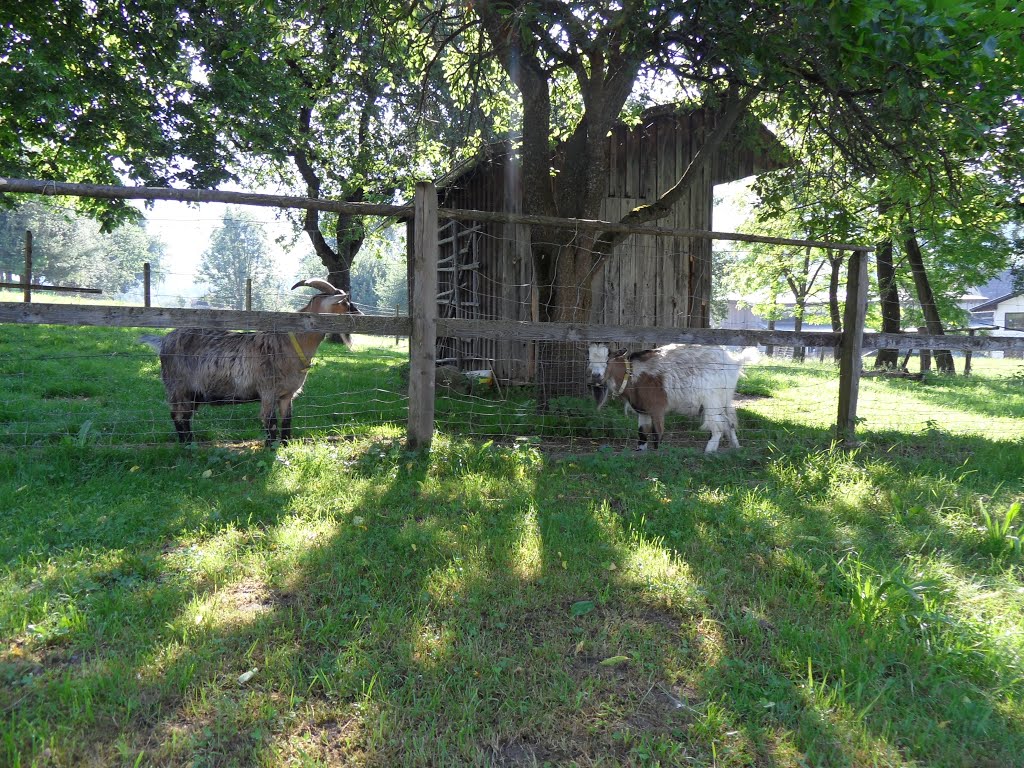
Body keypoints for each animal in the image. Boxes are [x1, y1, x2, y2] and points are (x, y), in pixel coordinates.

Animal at [585, 342, 761, 450]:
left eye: (608, 359)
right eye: (589, 359)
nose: (596, 376)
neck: (633, 374)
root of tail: (735, 362)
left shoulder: (657, 409)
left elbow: (657, 435)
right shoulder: (643, 411)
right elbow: (642, 435)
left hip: (712, 400)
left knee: (718, 426)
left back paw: (709, 451)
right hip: (724, 397)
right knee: (729, 421)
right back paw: (736, 447)